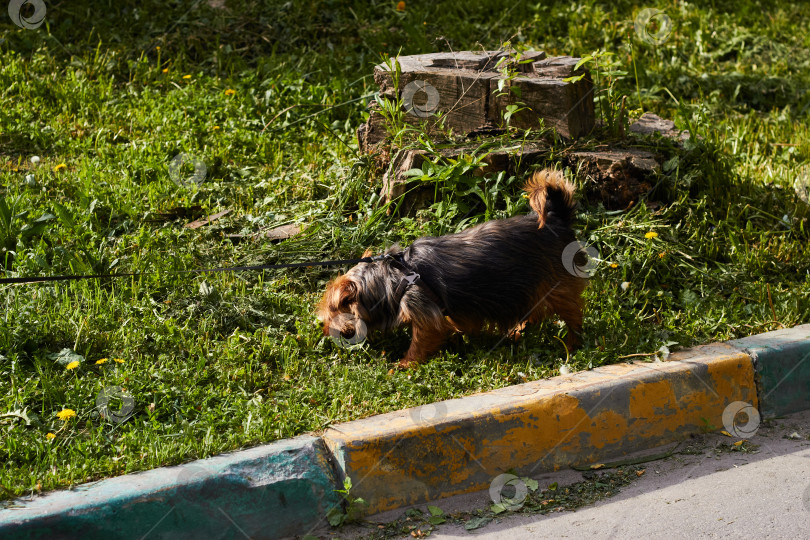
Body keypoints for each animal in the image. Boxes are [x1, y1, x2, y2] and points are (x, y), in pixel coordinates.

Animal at [318, 170, 592, 368]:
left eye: (332, 312)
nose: (324, 331)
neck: (392, 279)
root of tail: (557, 218)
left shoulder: (425, 315)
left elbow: (420, 342)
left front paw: (404, 365)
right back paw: (518, 330)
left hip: (557, 286)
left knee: (572, 315)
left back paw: (573, 343)